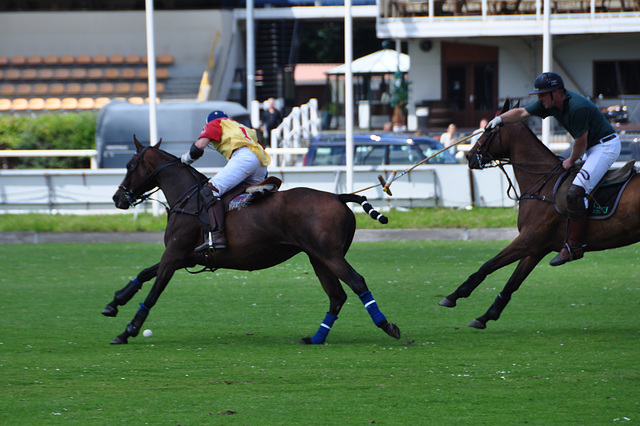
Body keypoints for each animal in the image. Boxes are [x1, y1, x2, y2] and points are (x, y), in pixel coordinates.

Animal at [104, 138, 400, 344]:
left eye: (130, 165)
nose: (118, 198)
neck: (186, 199)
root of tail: (338, 196)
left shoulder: (174, 254)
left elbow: (154, 292)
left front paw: (128, 330)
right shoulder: (184, 256)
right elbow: (145, 273)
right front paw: (114, 302)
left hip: (330, 255)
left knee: (357, 283)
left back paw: (388, 326)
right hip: (318, 257)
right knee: (337, 296)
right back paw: (316, 337)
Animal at [440, 101, 640, 328]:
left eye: (489, 131)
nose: (469, 156)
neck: (543, 184)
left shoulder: (528, 239)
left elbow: (487, 266)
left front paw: (454, 296)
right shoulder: (536, 248)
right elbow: (512, 283)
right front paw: (486, 315)